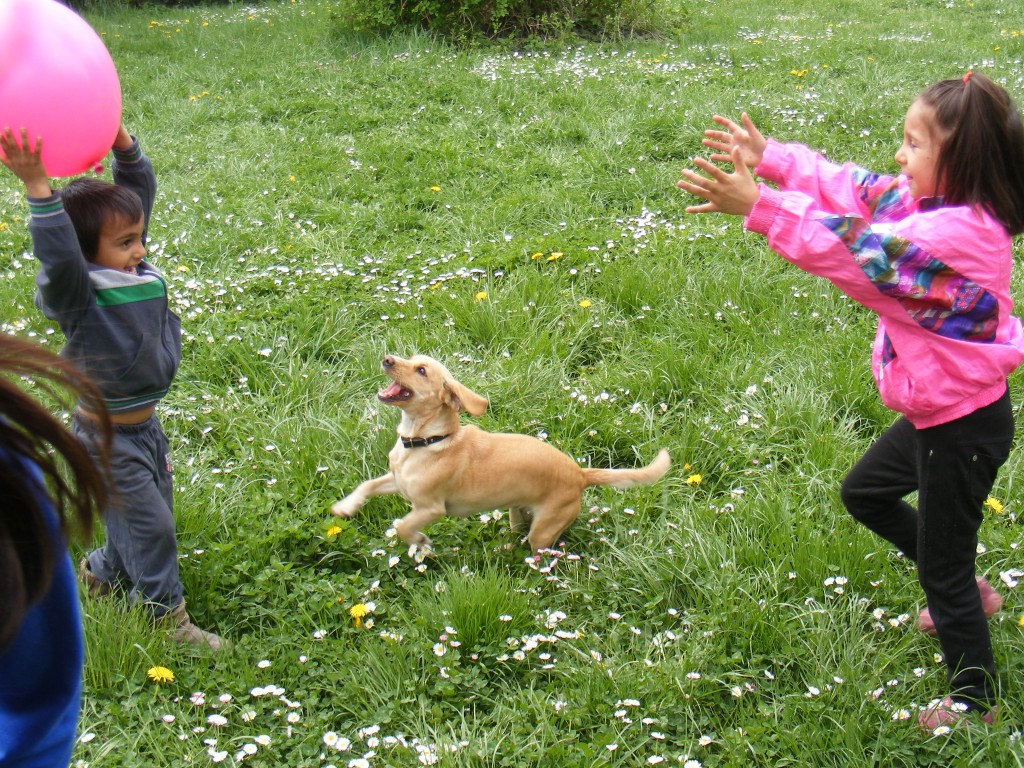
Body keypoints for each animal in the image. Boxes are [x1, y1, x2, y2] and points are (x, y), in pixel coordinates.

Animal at [331, 354, 671, 552]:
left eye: (421, 370)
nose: (387, 358)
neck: (425, 440)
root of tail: (580, 473)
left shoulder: (430, 508)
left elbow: (403, 526)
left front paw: (420, 541)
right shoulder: (396, 480)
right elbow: (368, 485)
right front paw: (346, 507)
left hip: (544, 530)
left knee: (546, 552)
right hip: (517, 515)